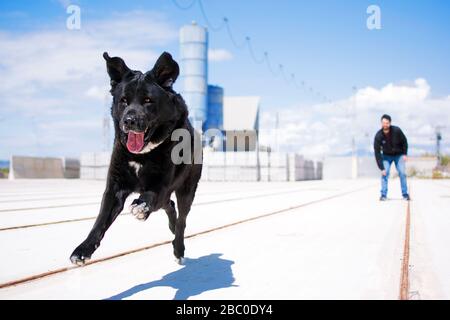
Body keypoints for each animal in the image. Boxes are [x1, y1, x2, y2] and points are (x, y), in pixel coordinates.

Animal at [69, 51, 202, 264]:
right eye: (123, 100)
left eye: (148, 100)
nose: (129, 120)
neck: (143, 155)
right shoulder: (114, 187)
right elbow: (100, 221)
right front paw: (83, 249)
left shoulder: (162, 185)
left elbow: (150, 195)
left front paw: (141, 206)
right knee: (170, 206)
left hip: (187, 189)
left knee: (181, 219)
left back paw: (178, 247)